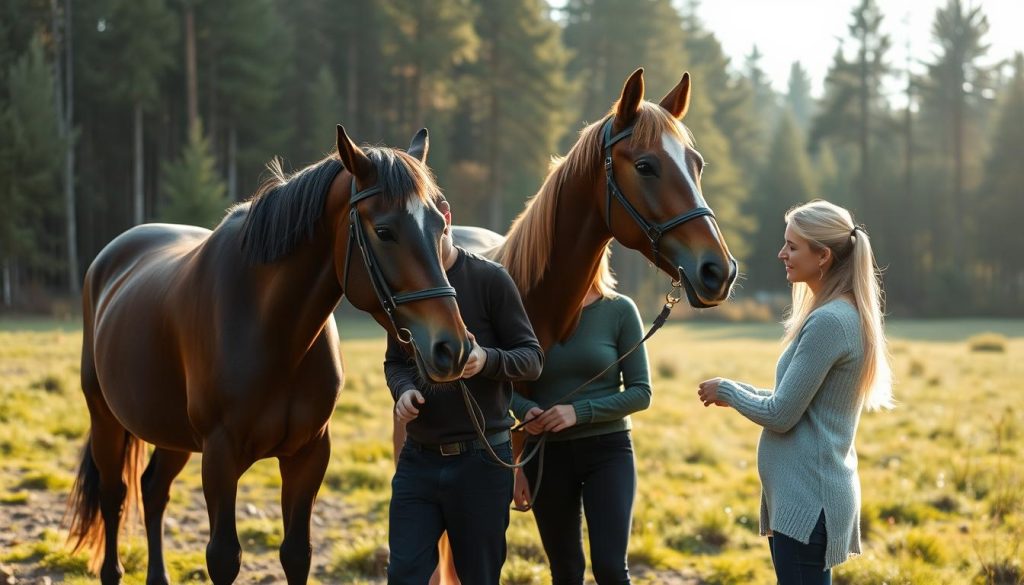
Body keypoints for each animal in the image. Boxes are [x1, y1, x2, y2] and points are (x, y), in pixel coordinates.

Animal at [68, 128, 471, 585]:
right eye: (385, 231)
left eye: (440, 224)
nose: (452, 347)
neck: (275, 334)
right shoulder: (220, 456)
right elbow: (223, 557)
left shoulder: (308, 454)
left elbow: (296, 554)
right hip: (105, 418)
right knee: (113, 495)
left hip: (172, 433)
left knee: (153, 491)